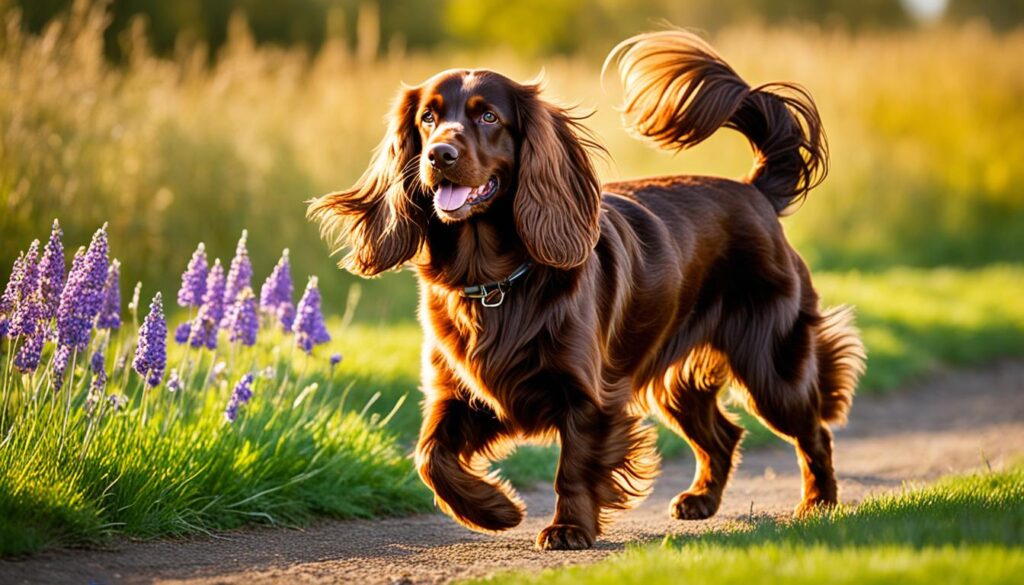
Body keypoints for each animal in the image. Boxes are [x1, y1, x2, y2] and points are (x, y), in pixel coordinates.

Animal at [309, 29, 864, 553]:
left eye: (488, 117)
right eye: (427, 117)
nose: (438, 155)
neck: (495, 281)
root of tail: (755, 191)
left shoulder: (588, 396)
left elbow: (573, 467)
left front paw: (568, 528)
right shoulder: (463, 393)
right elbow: (429, 457)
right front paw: (493, 510)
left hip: (771, 365)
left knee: (814, 431)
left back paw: (819, 503)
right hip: (676, 380)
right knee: (724, 435)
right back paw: (701, 499)